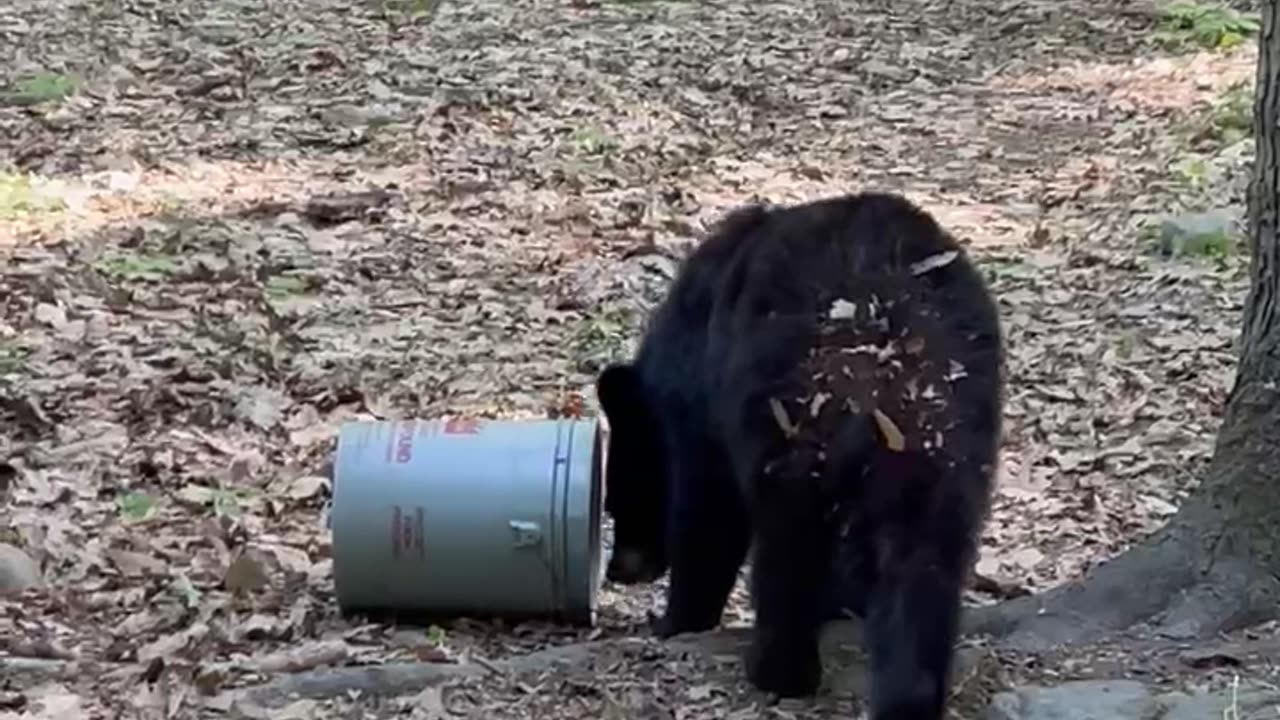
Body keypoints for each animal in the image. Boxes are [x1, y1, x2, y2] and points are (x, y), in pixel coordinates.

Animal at [593, 189, 1003, 717]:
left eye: (615, 501)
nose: (619, 571)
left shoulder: (703, 409)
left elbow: (707, 513)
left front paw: (676, 620)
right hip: (954, 445)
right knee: (925, 563)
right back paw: (910, 695)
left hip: (789, 419)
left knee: (788, 548)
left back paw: (779, 670)